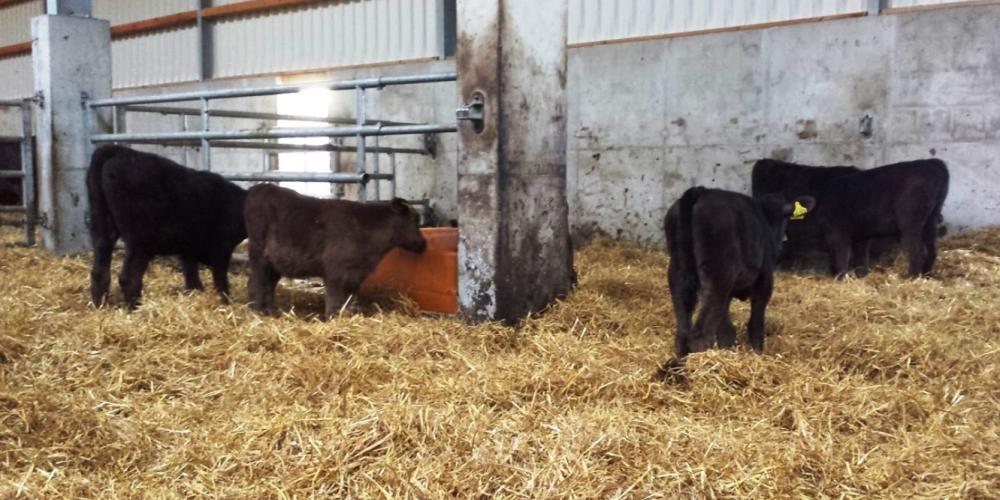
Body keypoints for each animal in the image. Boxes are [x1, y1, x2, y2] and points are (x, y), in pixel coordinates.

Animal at [88, 145, 248, 308]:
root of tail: (121, 151)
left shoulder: (189, 245)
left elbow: (190, 271)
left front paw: (195, 292)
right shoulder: (221, 246)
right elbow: (220, 277)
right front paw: (225, 301)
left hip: (102, 226)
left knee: (99, 272)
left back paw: (99, 305)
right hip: (139, 240)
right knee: (129, 277)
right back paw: (135, 307)